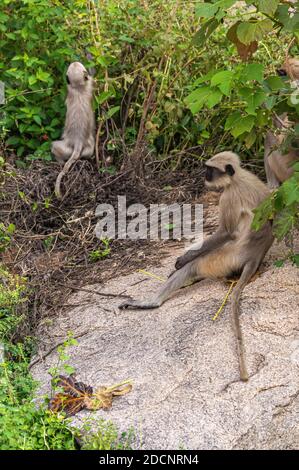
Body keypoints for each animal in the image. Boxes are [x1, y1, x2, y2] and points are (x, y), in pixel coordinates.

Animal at [52, 62, 95, 198]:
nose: (74, 61)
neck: (79, 88)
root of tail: (78, 143)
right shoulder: (89, 85)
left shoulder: (70, 90)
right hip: (86, 149)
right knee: (88, 153)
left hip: (66, 147)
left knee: (54, 146)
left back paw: (59, 162)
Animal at [119, 152, 274, 384]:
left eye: (210, 169)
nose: (204, 175)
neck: (236, 177)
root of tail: (254, 255)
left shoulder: (229, 196)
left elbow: (226, 233)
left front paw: (182, 261)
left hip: (224, 258)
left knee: (194, 264)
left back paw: (153, 300)